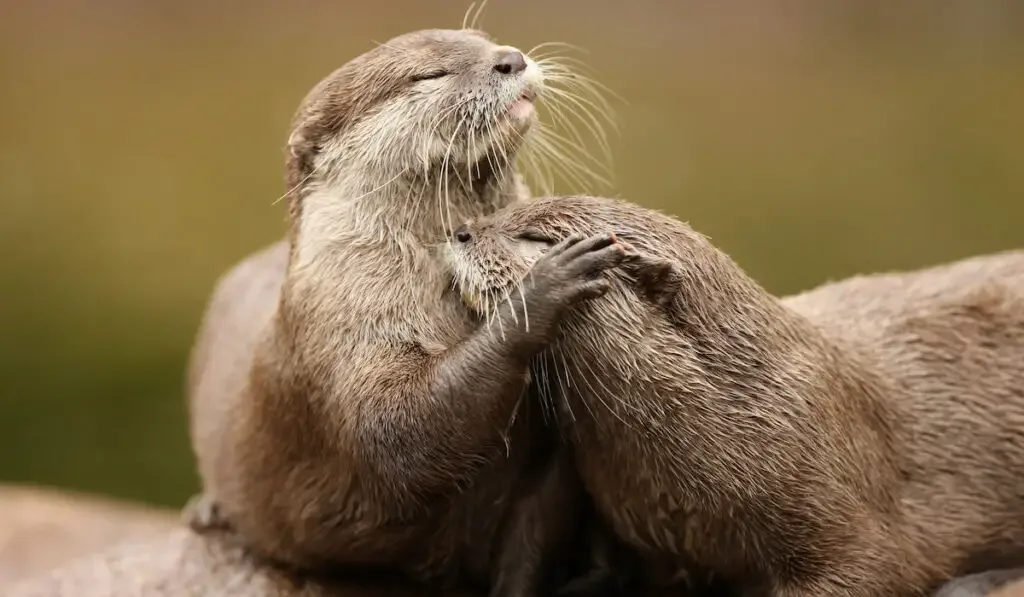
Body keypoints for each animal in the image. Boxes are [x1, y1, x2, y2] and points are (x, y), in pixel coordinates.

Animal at [182, 28, 622, 597]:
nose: (510, 59)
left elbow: (535, 530)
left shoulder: (546, 467)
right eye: (427, 74)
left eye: (481, 40)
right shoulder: (341, 339)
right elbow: (397, 433)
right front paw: (542, 285)